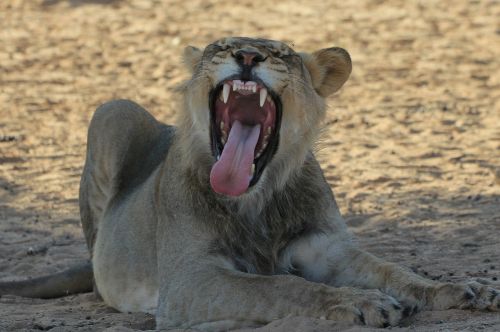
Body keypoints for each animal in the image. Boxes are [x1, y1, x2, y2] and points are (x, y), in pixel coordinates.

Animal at [0, 36, 500, 330]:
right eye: (220, 48)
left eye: (280, 54)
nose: (247, 57)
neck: (256, 199)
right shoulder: (189, 280)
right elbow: (280, 287)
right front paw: (363, 303)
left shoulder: (326, 247)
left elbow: (396, 272)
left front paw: (466, 290)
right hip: (112, 112)